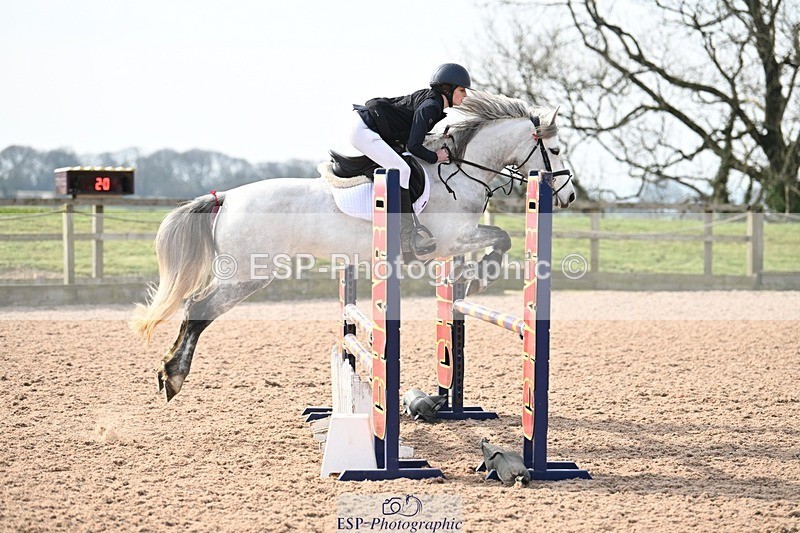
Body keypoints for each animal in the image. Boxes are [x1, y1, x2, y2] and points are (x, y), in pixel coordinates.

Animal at [130, 91, 576, 402]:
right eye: (554, 151)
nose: (569, 197)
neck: (459, 172)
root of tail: (226, 197)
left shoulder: (455, 244)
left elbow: (494, 244)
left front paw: (471, 279)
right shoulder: (450, 240)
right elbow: (502, 238)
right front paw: (482, 277)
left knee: (196, 308)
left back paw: (168, 374)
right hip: (249, 275)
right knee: (198, 308)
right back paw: (172, 375)